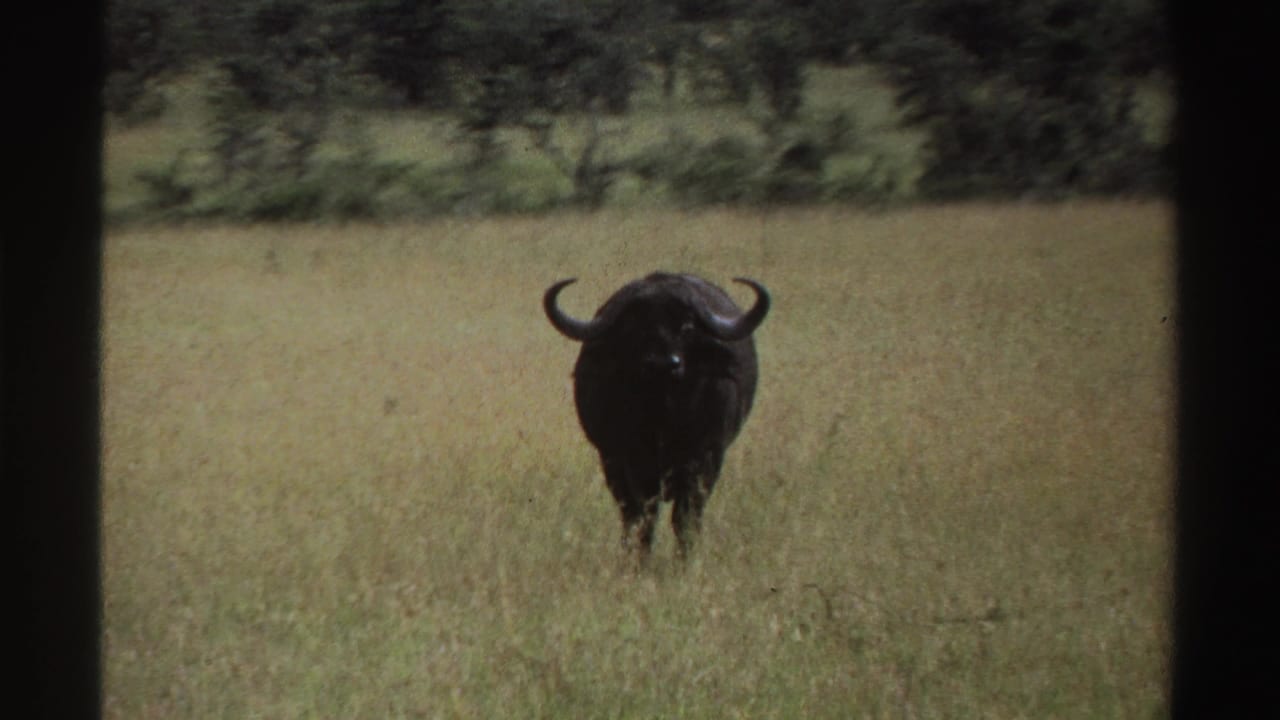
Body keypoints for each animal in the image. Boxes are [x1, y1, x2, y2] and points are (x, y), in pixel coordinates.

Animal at [543, 272, 770, 558]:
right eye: (635, 326)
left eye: (687, 326)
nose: (664, 364)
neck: (663, 416)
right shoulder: (629, 463)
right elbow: (644, 518)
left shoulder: (705, 461)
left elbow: (685, 520)